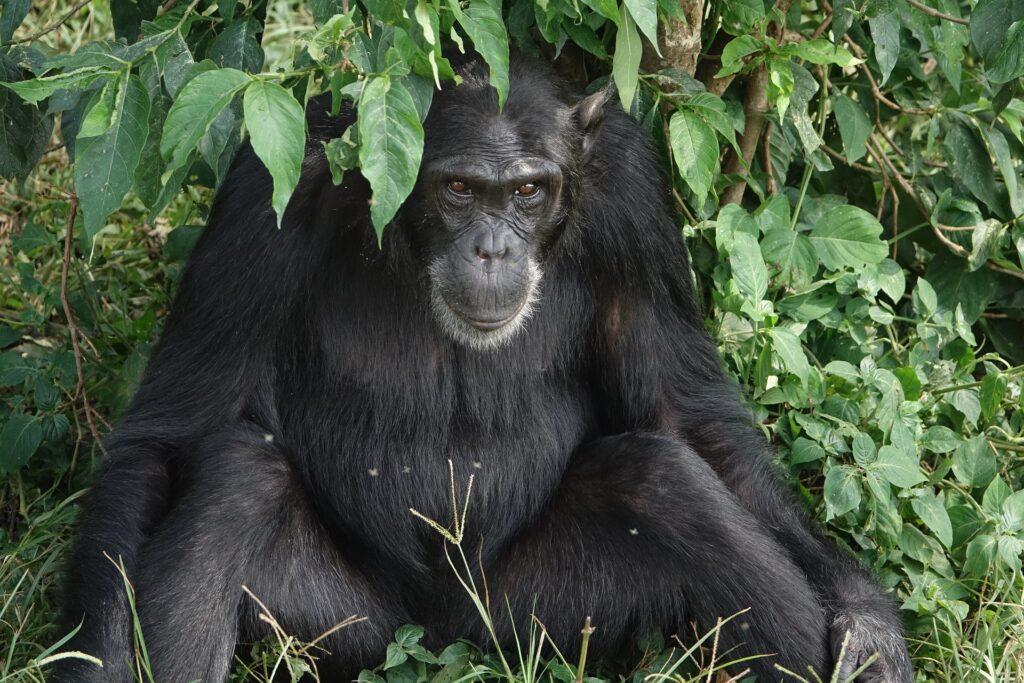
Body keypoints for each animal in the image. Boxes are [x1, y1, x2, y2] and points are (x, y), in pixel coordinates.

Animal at [54, 50, 913, 679]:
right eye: (460, 188)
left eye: (529, 191)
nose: (493, 247)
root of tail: (441, 639)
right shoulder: (270, 191)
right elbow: (171, 430)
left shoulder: (633, 195)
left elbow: (686, 417)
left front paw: (866, 619)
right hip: (349, 632)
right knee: (238, 481)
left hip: (536, 622)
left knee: (664, 479)